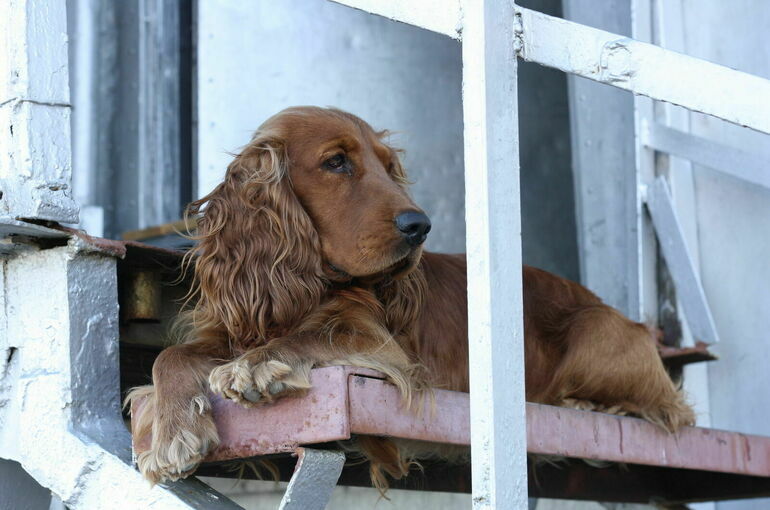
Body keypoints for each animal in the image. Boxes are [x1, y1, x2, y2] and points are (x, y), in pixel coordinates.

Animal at [129, 105, 692, 488]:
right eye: (336, 162)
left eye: (386, 166)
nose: (419, 225)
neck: (306, 279)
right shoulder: (235, 322)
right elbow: (169, 357)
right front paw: (173, 431)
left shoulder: (376, 342)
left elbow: (309, 338)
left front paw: (258, 364)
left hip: (595, 331)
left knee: (673, 408)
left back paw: (598, 404)